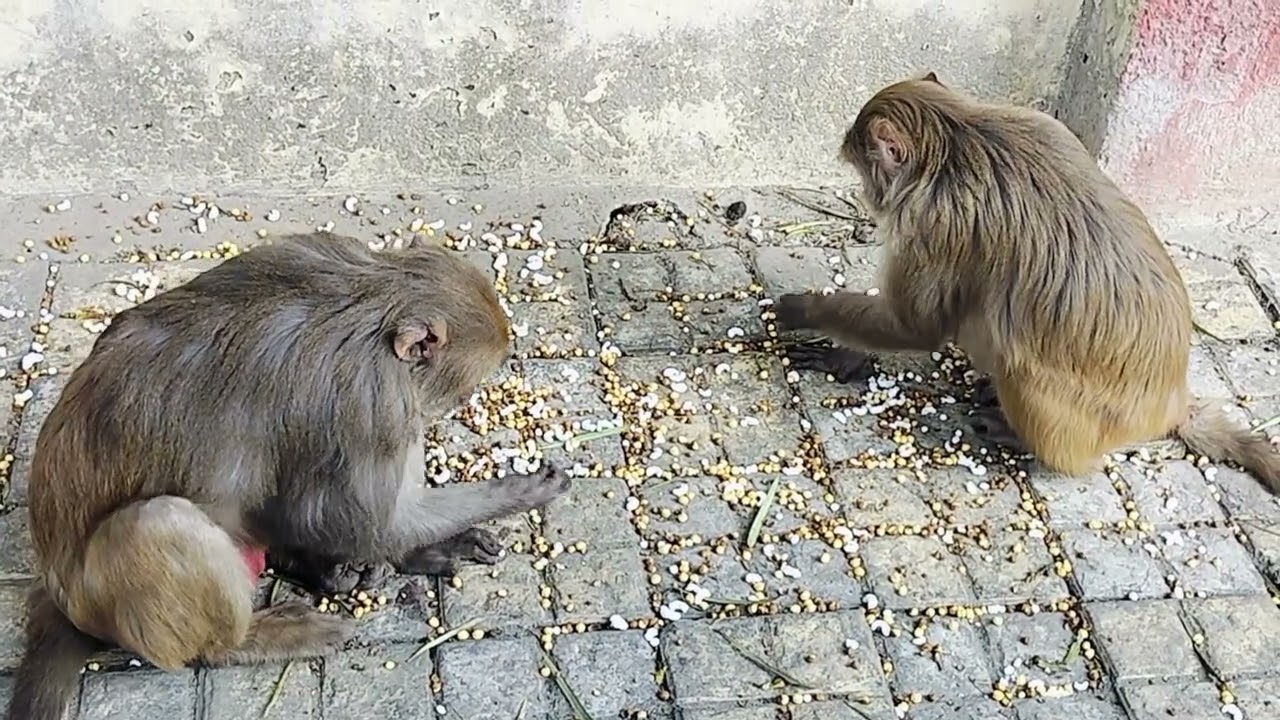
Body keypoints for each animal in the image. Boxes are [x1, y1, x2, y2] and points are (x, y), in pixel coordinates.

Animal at [6, 232, 571, 720]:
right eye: (461, 392)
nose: (441, 412)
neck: (376, 296)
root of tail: (58, 591)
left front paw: (424, 547)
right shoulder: (375, 402)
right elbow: (348, 520)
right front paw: (518, 491)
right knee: (157, 524)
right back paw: (245, 639)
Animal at [773, 72, 1280, 495]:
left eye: (865, 169)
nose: (867, 196)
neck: (958, 138)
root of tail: (1170, 403)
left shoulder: (935, 223)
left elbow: (918, 326)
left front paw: (806, 312)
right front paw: (844, 353)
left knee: (1018, 363)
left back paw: (1018, 435)